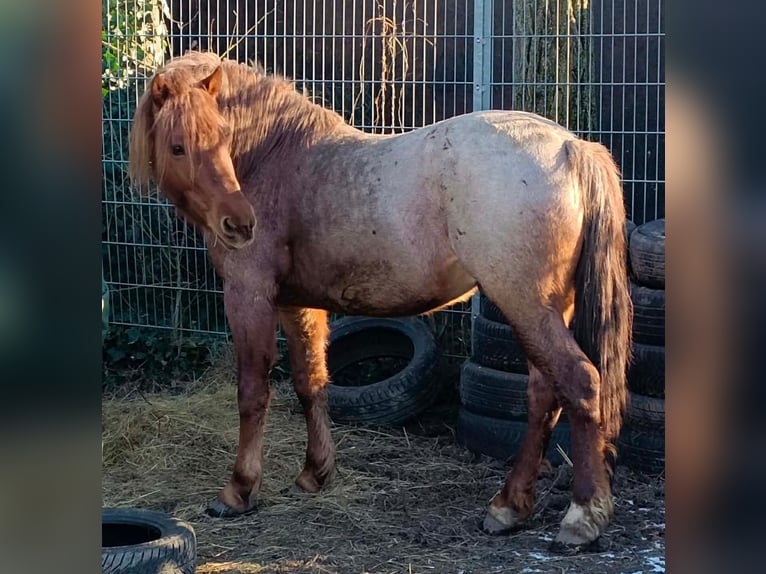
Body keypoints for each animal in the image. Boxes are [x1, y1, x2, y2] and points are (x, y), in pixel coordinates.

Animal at [128, 51, 632, 550]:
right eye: (179, 146)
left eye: (221, 138)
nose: (240, 224)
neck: (276, 157)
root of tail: (569, 146)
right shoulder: (297, 303)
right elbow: (311, 382)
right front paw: (316, 474)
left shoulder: (248, 295)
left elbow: (253, 392)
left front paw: (238, 491)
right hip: (543, 310)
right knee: (543, 394)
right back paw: (509, 507)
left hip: (524, 304)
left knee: (581, 382)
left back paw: (581, 517)